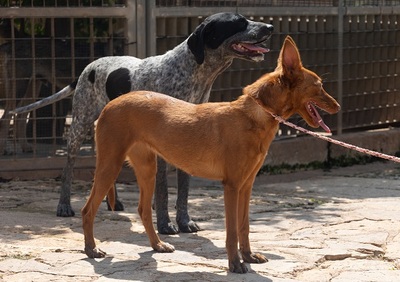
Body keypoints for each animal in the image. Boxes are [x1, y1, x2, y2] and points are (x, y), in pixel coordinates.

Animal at [14, 12, 274, 234]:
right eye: (238, 23)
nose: (270, 27)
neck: (193, 74)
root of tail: (89, 67)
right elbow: (163, 191)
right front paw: (165, 224)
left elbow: (183, 191)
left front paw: (184, 221)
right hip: (79, 127)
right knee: (67, 169)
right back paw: (64, 205)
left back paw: (113, 201)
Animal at [81, 36, 340, 274]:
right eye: (319, 85)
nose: (337, 106)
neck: (254, 116)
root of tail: (109, 105)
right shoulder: (232, 186)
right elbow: (232, 230)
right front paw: (235, 264)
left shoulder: (246, 186)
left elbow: (244, 226)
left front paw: (248, 256)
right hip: (110, 166)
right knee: (88, 210)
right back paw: (91, 249)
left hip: (148, 169)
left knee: (143, 210)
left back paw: (158, 245)